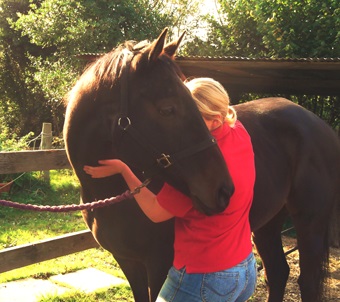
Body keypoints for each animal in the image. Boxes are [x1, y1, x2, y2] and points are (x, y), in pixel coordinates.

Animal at [64, 28, 340, 302]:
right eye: (168, 109)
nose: (224, 190)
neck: (110, 195)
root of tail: (319, 125)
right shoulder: (128, 262)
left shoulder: (160, 263)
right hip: (269, 223)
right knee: (278, 272)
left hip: (310, 224)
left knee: (306, 282)